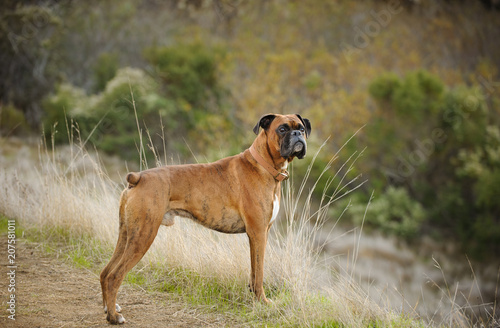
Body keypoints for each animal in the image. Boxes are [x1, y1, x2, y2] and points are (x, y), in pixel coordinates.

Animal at [99, 114, 310, 324]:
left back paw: (109, 307)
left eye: (301, 127)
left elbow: (253, 272)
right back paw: (113, 316)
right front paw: (262, 302)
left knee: (105, 272)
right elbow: (259, 274)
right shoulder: (258, 234)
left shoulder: (257, 235)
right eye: (282, 129)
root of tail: (138, 177)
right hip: (143, 236)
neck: (263, 165)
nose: (297, 134)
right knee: (114, 276)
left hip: (126, 234)